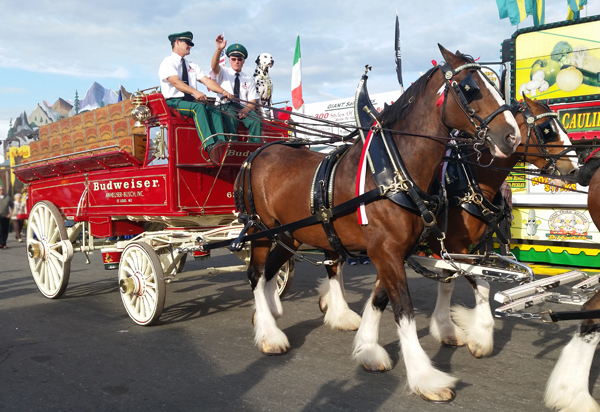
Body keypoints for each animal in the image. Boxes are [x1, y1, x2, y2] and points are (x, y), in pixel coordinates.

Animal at [237, 45, 524, 402]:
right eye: (470, 88)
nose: (512, 136)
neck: (394, 173)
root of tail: (258, 152)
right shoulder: (388, 252)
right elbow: (403, 308)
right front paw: (425, 377)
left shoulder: (394, 251)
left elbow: (379, 300)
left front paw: (368, 349)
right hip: (261, 231)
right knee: (256, 275)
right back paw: (269, 335)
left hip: (289, 234)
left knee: (270, 273)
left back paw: (270, 317)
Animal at [424, 96, 580, 360]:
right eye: (547, 129)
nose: (575, 168)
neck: (470, 180)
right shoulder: (451, 245)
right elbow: (484, 285)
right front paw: (481, 339)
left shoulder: (458, 249)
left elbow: (448, 284)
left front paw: (446, 329)